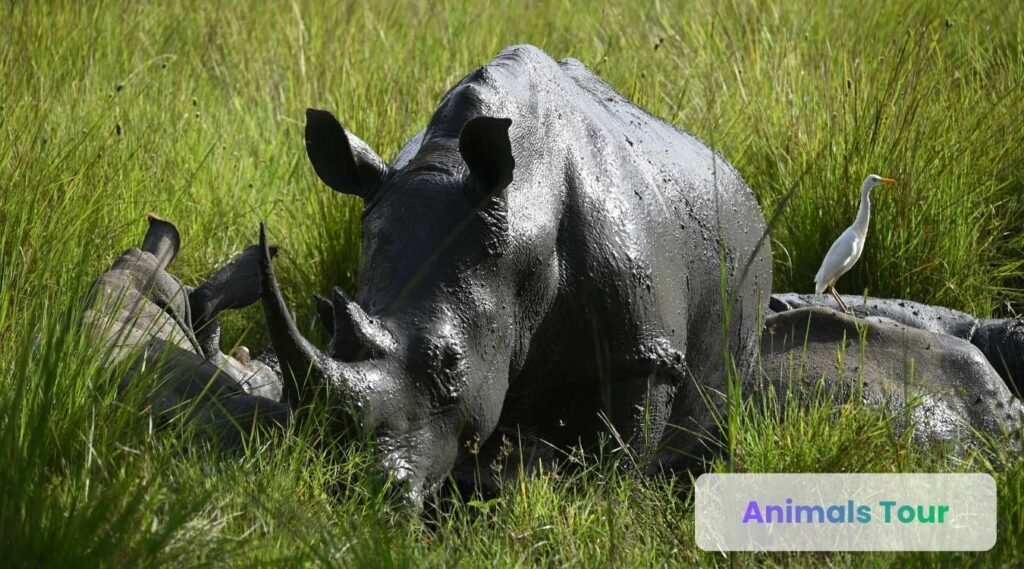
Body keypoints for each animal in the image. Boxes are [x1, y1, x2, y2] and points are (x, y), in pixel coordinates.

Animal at [260, 44, 772, 503]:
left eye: (450, 363)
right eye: (329, 328)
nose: (354, 491)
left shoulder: (643, 355)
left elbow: (617, 458)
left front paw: (601, 508)